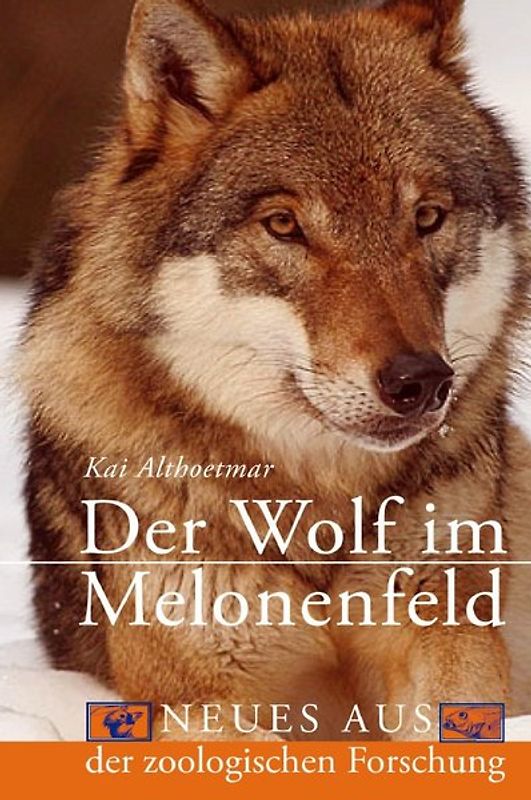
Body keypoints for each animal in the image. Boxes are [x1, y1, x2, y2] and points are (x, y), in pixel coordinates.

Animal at [19, 0, 531, 740]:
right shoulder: (189, 696)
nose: (419, 381)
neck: (317, 513)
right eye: (285, 225)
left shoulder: (447, 630)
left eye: (427, 217)